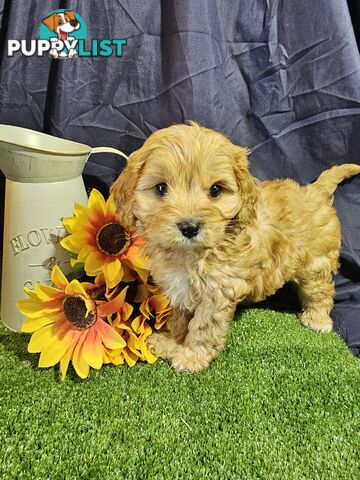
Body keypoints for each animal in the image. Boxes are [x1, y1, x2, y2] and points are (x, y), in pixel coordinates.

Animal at [111, 122, 360, 374]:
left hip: (315, 263)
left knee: (319, 291)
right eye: (161, 188)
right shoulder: (180, 287)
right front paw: (170, 341)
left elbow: (203, 328)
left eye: (215, 190)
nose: (189, 227)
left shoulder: (217, 292)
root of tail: (315, 191)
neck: (191, 255)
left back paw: (317, 319)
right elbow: (179, 317)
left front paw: (192, 357)